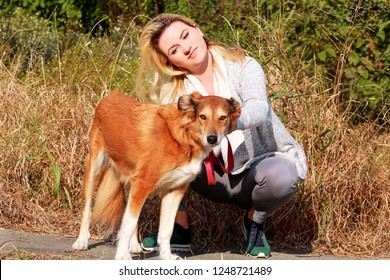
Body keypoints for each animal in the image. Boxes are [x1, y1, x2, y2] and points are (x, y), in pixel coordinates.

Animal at [71, 89, 239, 258]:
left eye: (222, 117)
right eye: (203, 116)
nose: (212, 139)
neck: (183, 137)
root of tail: (111, 95)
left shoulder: (174, 190)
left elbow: (165, 231)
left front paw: (166, 257)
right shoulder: (143, 183)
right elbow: (128, 225)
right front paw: (122, 256)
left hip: (133, 184)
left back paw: (134, 245)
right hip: (95, 170)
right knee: (87, 208)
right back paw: (81, 241)